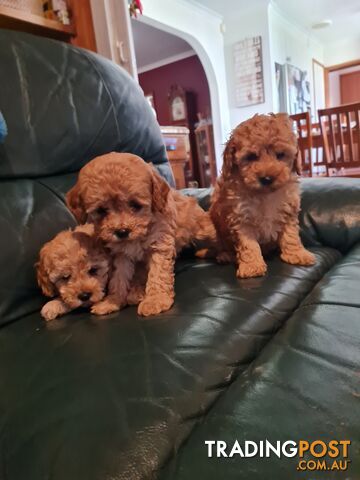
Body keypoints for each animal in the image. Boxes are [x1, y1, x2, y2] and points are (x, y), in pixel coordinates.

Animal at [66, 152, 215, 316]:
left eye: (135, 205)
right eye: (101, 211)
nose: (122, 232)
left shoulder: (160, 244)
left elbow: (158, 273)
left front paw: (155, 300)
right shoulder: (121, 254)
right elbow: (118, 278)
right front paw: (113, 301)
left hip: (201, 227)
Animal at [210, 114, 316, 278]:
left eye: (280, 155)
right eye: (251, 157)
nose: (267, 178)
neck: (264, 195)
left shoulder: (288, 212)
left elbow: (291, 236)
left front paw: (297, 254)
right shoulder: (240, 218)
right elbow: (248, 244)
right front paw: (252, 266)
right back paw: (225, 255)